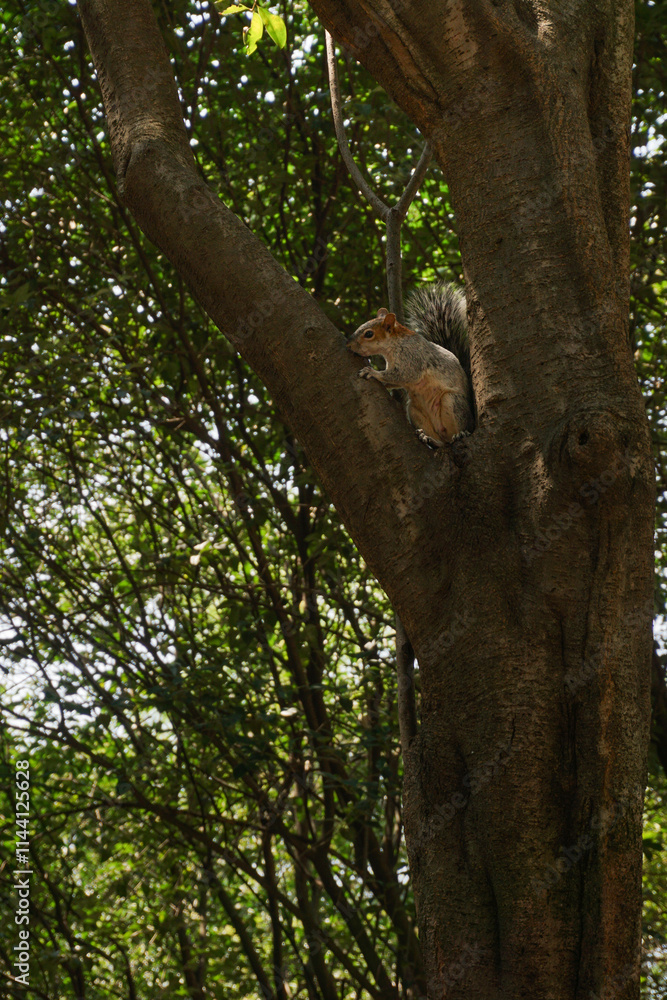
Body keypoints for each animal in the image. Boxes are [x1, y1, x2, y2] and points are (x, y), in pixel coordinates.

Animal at [347, 282, 474, 447]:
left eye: (369, 334)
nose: (348, 344)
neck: (393, 346)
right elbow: (396, 380)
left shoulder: (412, 358)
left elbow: (404, 375)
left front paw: (372, 372)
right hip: (414, 411)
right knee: (442, 443)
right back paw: (429, 438)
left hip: (452, 402)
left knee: (456, 428)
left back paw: (460, 434)